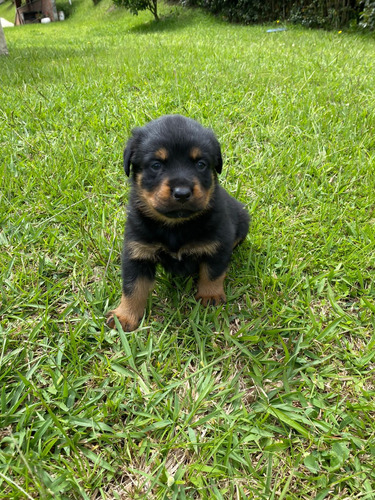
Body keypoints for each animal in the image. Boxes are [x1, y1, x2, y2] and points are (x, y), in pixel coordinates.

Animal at [106, 114, 250, 332]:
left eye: (201, 164)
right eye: (156, 165)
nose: (182, 193)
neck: (175, 225)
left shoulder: (218, 244)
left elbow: (213, 272)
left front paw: (210, 296)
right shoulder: (137, 252)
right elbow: (133, 287)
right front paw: (124, 316)